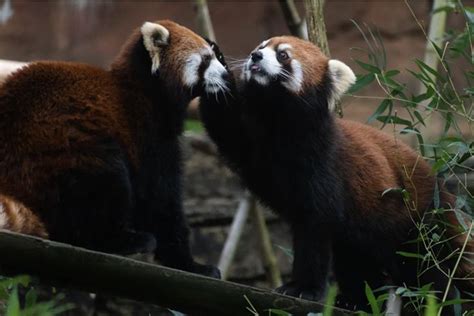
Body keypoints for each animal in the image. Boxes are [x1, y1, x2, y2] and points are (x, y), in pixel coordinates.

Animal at [0, 19, 226, 276]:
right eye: (206, 59)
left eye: (216, 56)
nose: (225, 73)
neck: (146, 90)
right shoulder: (147, 133)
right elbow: (159, 201)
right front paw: (191, 265)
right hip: (60, 149)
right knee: (105, 178)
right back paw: (124, 241)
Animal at [200, 37, 474, 312]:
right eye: (261, 46)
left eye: (283, 55)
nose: (254, 56)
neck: (276, 121)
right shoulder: (252, 144)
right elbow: (227, 129)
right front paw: (214, 67)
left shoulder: (325, 165)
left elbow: (314, 229)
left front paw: (302, 288)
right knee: (359, 264)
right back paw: (358, 301)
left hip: (420, 221)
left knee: (428, 269)